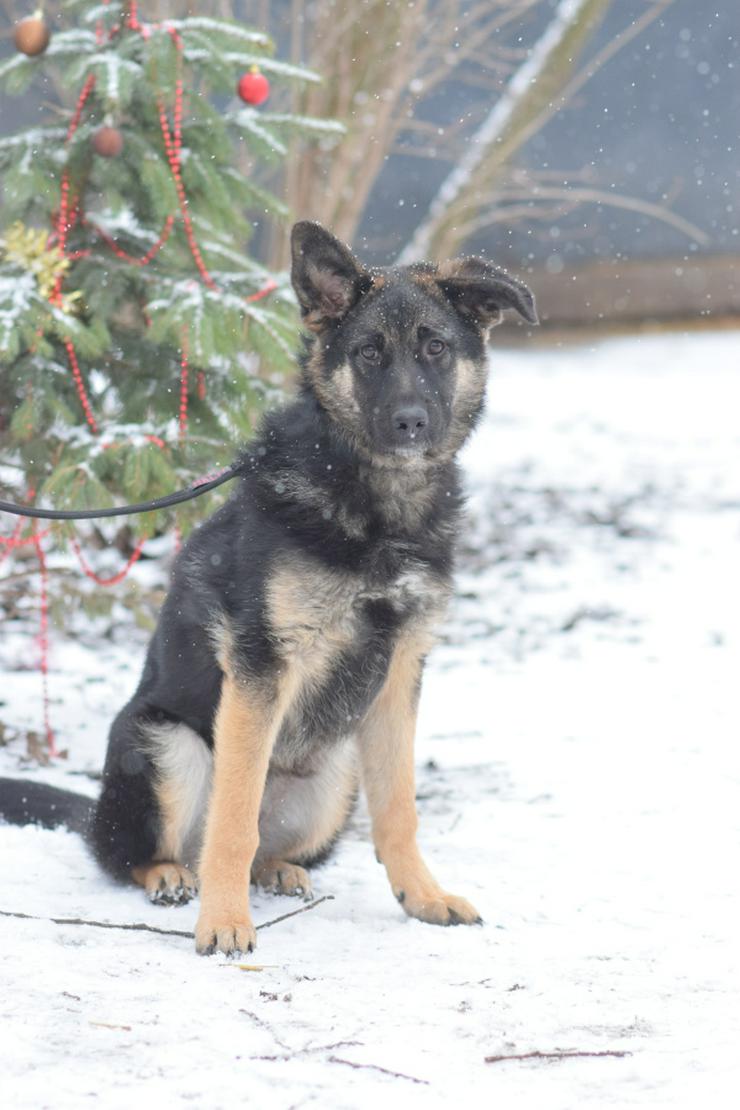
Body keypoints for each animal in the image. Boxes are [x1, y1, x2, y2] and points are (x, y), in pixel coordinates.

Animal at [0, 223, 534, 954]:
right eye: (368, 353)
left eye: (436, 349)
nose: (410, 423)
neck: (371, 502)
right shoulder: (261, 667)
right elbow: (233, 819)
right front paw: (224, 923)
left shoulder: (401, 670)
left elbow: (400, 807)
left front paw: (421, 896)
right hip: (167, 744)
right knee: (138, 852)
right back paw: (171, 876)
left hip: (335, 775)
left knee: (268, 844)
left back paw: (278, 871)